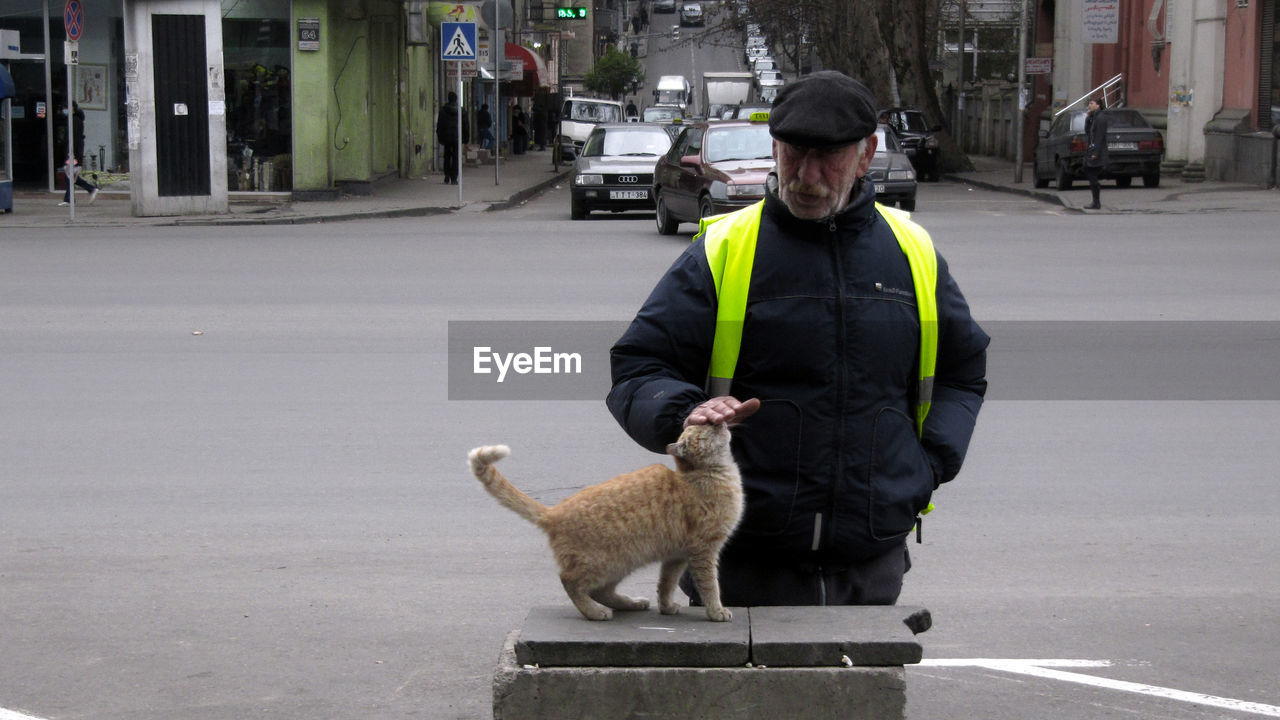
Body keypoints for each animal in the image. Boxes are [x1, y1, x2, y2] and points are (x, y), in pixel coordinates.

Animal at [473, 422, 747, 620]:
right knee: (570, 581)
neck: (705, 475)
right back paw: (594, 613)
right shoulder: (704, 551)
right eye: (705, 429)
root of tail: (554, 512)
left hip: (620, 565)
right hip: (607, 562)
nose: (719, 421)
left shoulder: (676, 556)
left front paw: (666, 607)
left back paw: (630, 603)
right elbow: (710, 585)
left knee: (600, 591)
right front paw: (716, 611)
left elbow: (665, 584)